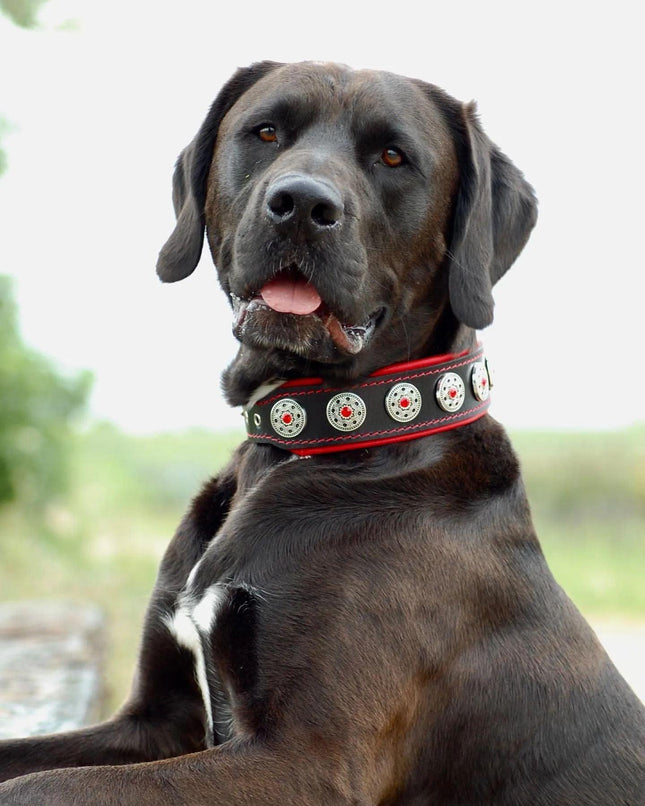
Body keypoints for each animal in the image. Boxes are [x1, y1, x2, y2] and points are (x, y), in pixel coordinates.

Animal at [1, 61, 644, 806]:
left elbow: (40, 785)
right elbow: (28, 761)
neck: (304, 440)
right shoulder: (155, 720)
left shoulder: (306, 759)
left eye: (393, 156)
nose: (302, 204)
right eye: (265, 132)